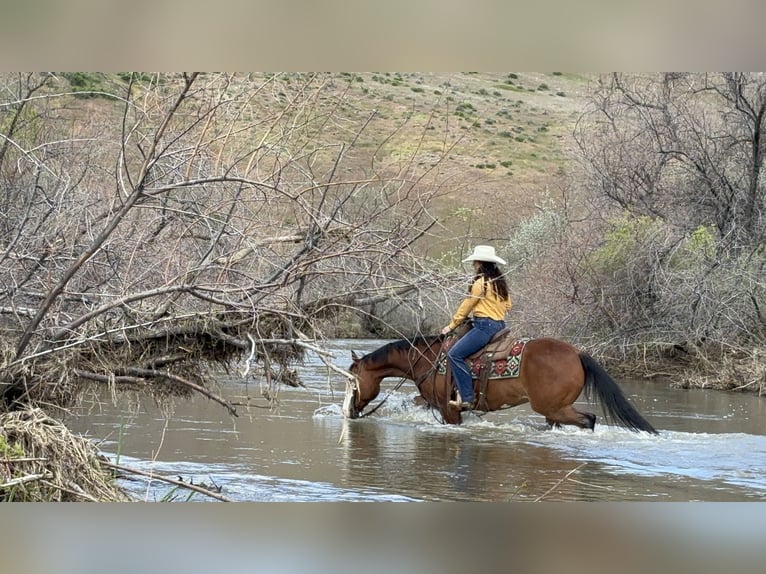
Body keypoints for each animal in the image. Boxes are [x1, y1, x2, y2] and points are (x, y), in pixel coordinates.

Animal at [344, 336, 660, 434]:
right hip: (554, 411)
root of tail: (576, 353)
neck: (428, 360)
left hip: (554, 407)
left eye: (352, 381)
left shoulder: (449, 410)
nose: (349, 411)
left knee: (589, 420)